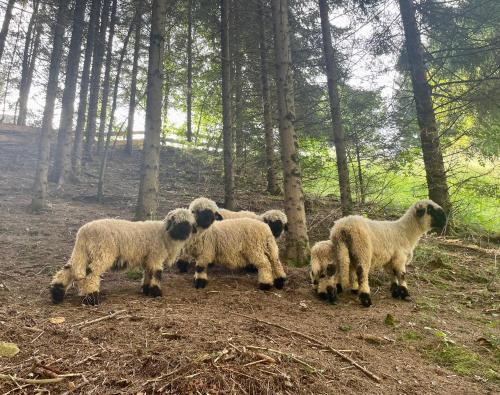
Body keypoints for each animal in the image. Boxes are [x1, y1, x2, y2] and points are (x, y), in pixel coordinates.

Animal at [49, 209, 198, 308]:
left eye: (188, 224)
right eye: (176, 222)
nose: (183, 233)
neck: (166, 235)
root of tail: (83, 231)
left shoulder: (148, 258)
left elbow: (148, 273)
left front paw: (146, 289)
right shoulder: (156, 255)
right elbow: (156, 273)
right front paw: (156, 292)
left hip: (82, 252)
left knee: (68, 269)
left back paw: (56, 294)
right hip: (102, 252)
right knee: (92, 274)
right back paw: (92, 298)